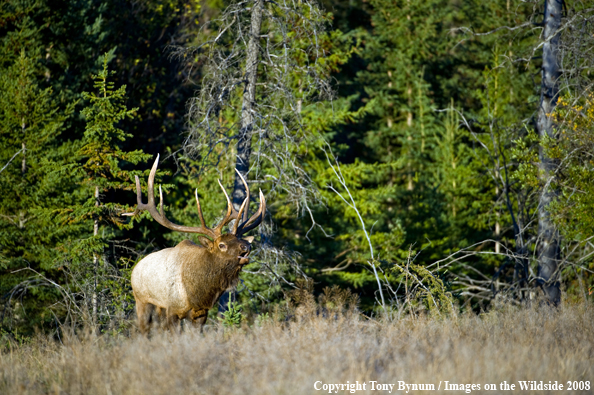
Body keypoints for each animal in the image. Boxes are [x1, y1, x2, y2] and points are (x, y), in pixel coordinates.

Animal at [123, 155, 264, 334]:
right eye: (222, 245)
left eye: (241, 240)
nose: (246, 247)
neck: (198, 292)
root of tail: (135, 268)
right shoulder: (172, 309)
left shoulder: (201, 313)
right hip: (142, 300)